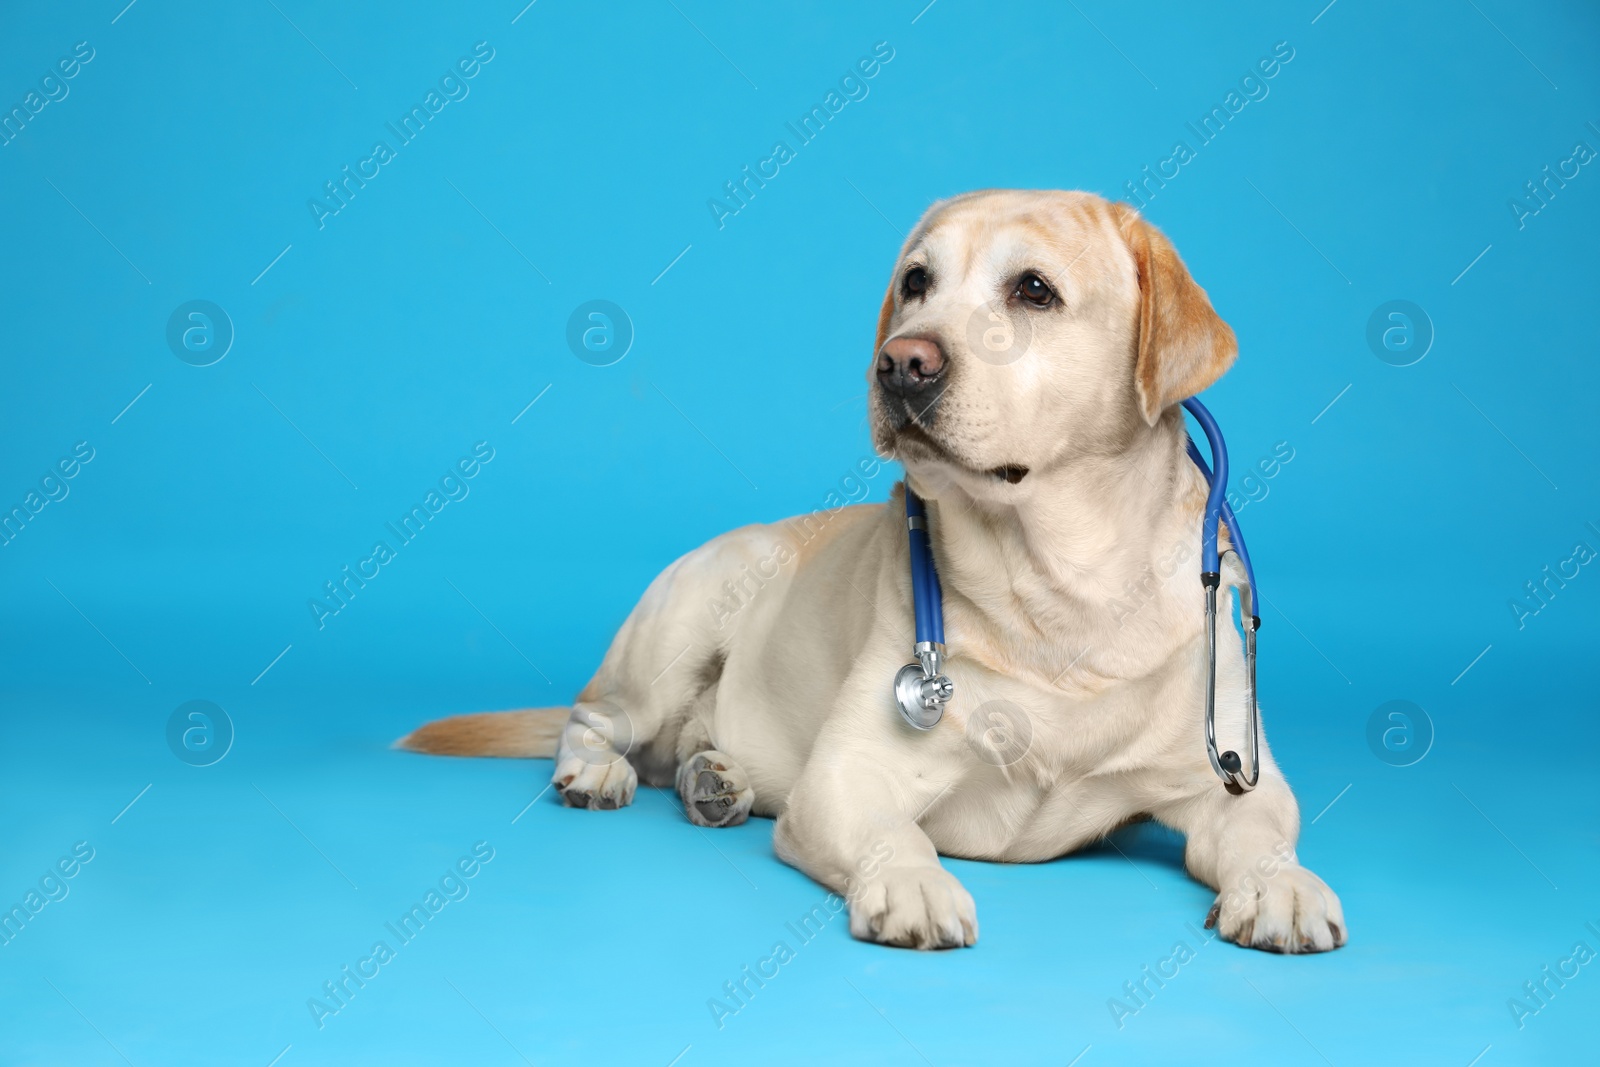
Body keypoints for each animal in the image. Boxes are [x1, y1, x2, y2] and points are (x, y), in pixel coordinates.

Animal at [396, 187, 1337, 953]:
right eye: (917, 281)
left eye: (1034, 289)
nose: (900, 363)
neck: (1057, 589)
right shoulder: (848, 778)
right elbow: (900, 831)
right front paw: (914, 882)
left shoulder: (1233, 778)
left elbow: (1265, 831)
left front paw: (1282, 885)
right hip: (674, 634)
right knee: (590, 719)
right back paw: (599, 771)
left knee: (685, 743)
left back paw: (714, 776)